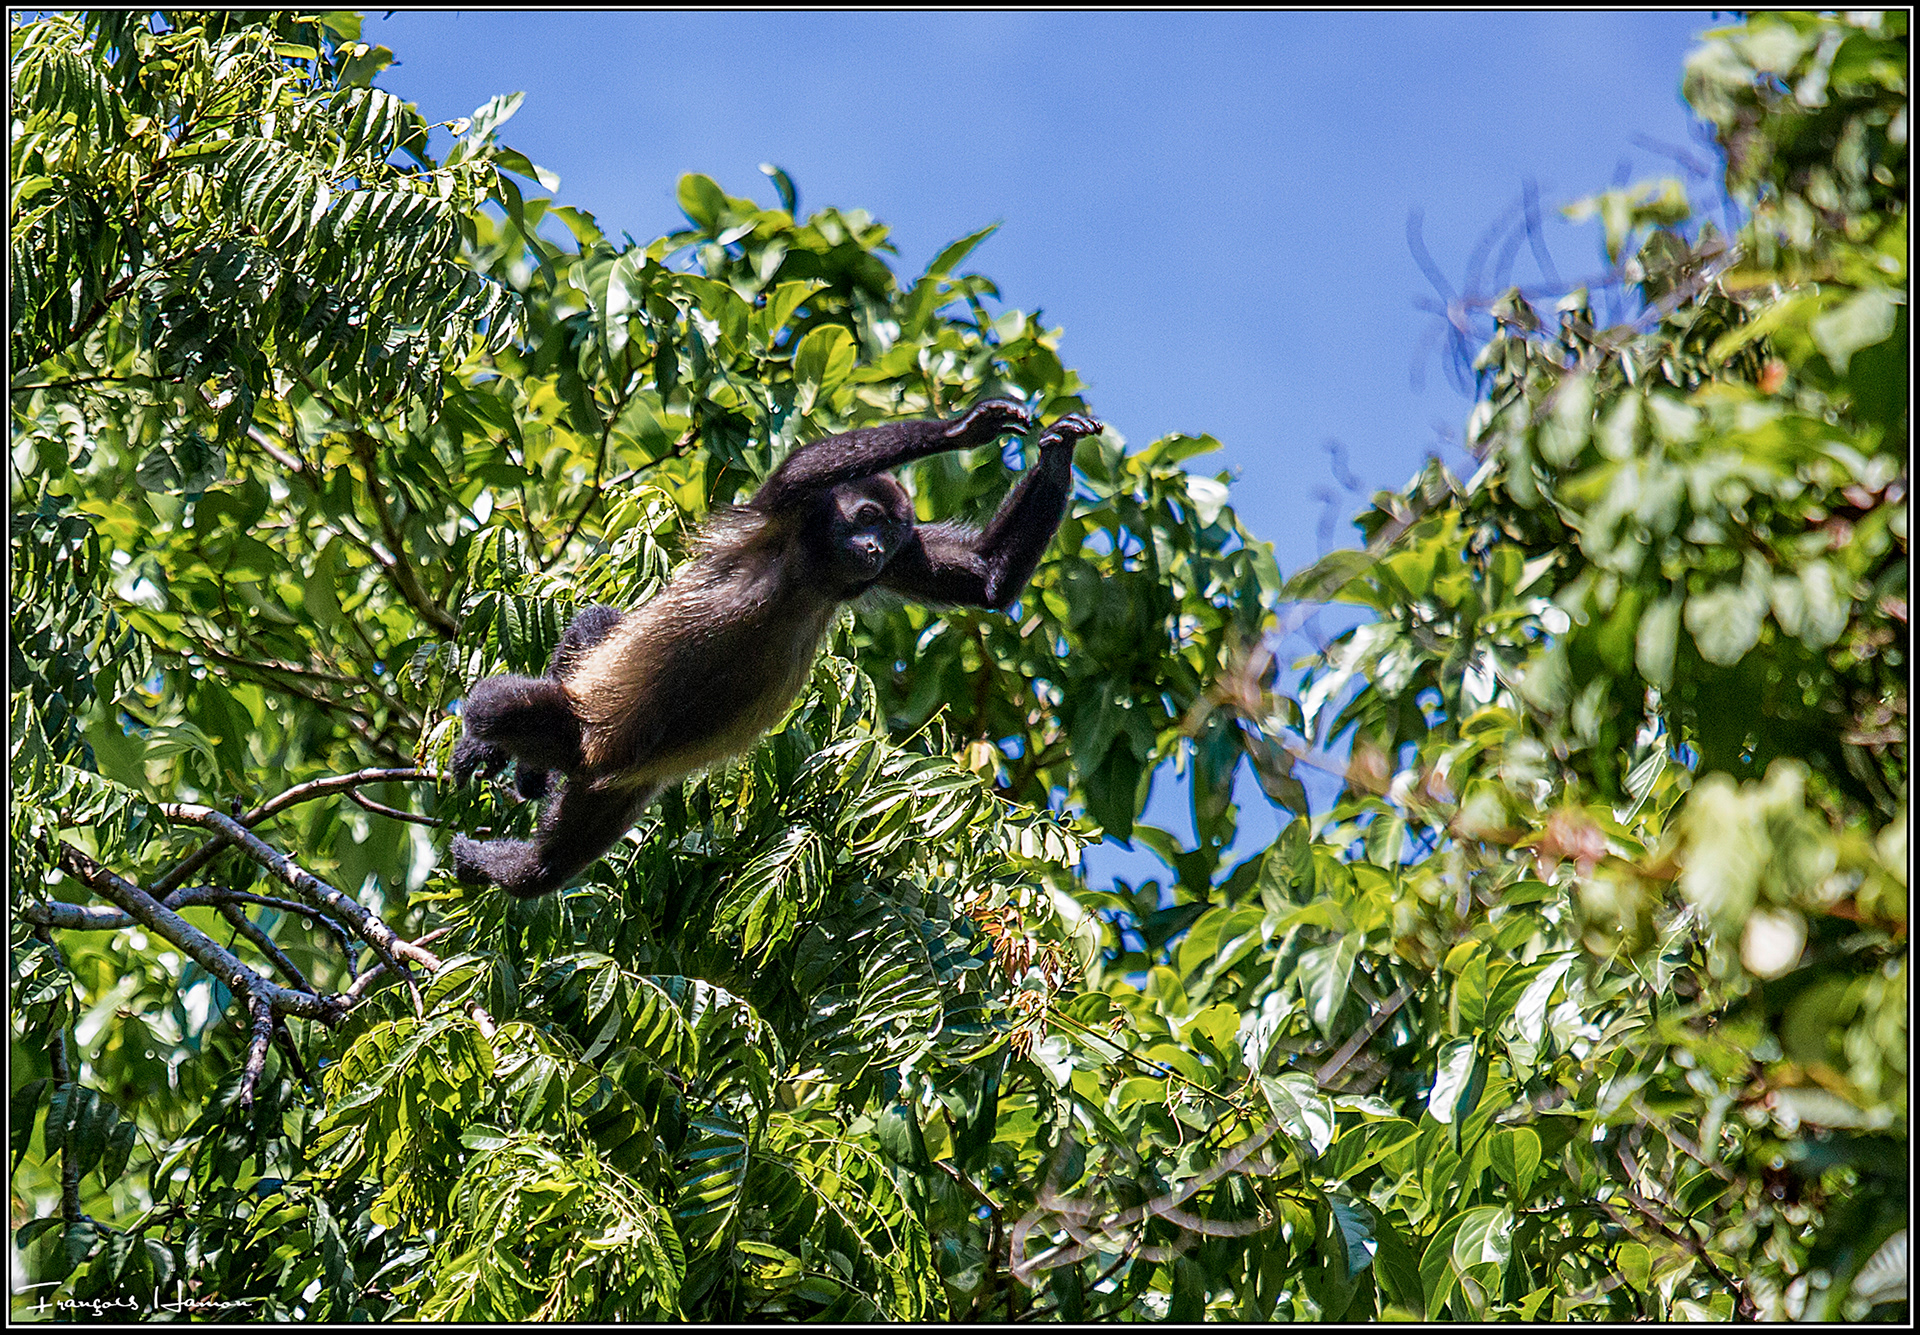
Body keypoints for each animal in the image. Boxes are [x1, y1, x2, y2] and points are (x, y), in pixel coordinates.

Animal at [448, 399, 1103, 898]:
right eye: (865, 516)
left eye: (891, 532)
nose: (873, 547)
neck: (812, 571)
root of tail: (589, 756)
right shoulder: (787, 513)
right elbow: (798, 472)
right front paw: (962, 427)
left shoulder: (904, 557)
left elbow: (985, 580)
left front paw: (1058, 451)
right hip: (576, 730)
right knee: (499, 701)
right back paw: (486, 746)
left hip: (610, 790)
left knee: (549, 864)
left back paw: (506, 859)